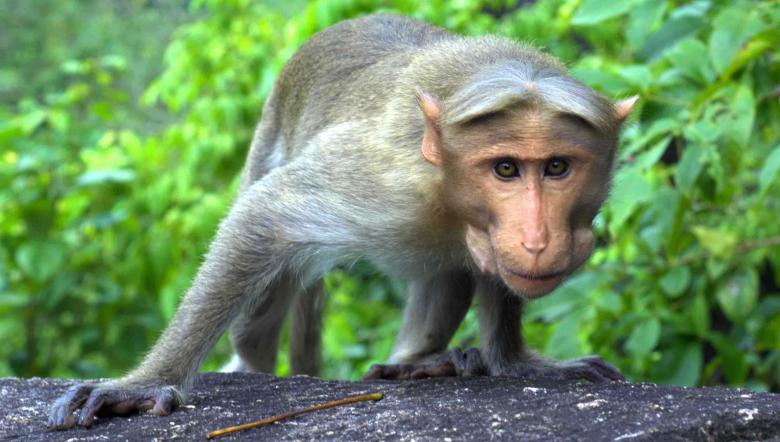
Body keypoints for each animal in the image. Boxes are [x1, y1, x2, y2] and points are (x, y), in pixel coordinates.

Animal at [48, 14, 637, 429]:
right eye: (506, 169)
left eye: (557, 167)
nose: (536, 238)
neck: (444, 188)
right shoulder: (381, 180)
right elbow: (265, 215)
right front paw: (146, 383)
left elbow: (496, 275)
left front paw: (516, 362)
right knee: (261, 301)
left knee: (452, 271)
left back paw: (421, 360)